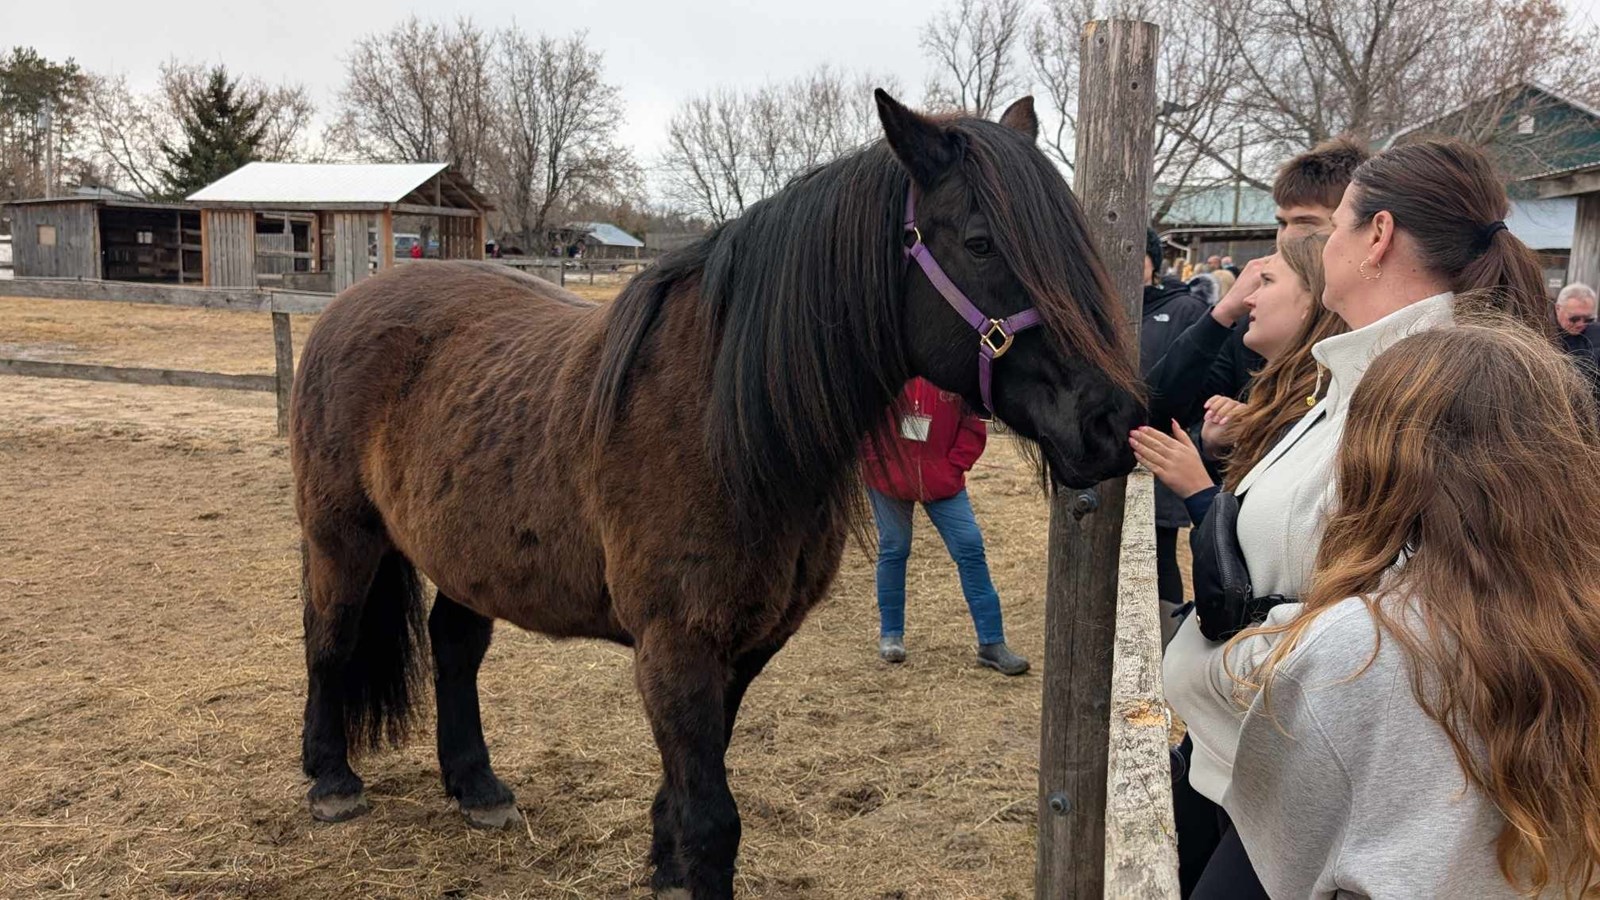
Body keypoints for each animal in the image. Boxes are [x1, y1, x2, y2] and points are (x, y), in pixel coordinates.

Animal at [289, 90, 1143, 899]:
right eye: (979, 242)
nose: (1113, 422)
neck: (726, 421)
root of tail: (346, 306)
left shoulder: (747, 647)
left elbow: (690, 792)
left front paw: (663, 865)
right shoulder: (677, 646)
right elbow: (713, 819)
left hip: (472, 554)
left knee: (454, 648)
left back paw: (476, 786)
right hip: (343, 536)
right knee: (330, 636)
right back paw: (331, 779)